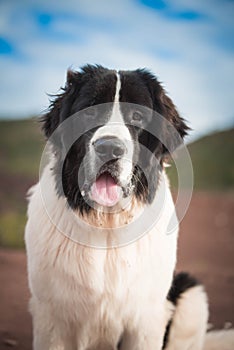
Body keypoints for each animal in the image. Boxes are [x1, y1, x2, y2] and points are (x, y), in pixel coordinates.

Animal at [24, 64, 210, 348]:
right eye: (89, 111)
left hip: (191, 295)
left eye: (137, 115)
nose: (109, 148)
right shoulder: (52, 317)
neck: (107, 223)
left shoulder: (146, 320)